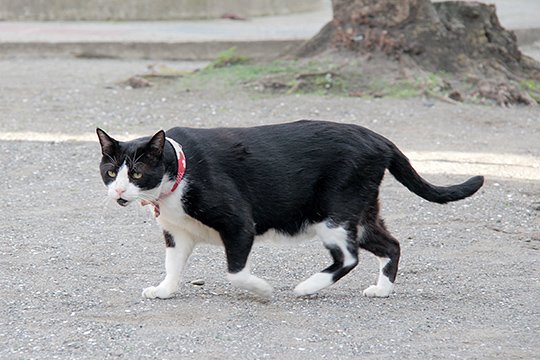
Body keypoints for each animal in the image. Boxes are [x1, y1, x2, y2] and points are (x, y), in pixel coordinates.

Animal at [97, 119, 486, 300]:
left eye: (137, 173)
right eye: (110, 172)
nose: (118, 191)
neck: (177, 177)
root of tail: (378, 138)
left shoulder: (240, 222)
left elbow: (235, 272)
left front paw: (262, 289)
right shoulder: (177, 232)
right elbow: (173, 265)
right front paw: (164, 289)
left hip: (333, 213)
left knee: (349, 256)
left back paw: (308, 287)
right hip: (360, 212)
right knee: (391, 244)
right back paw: (382, 290)